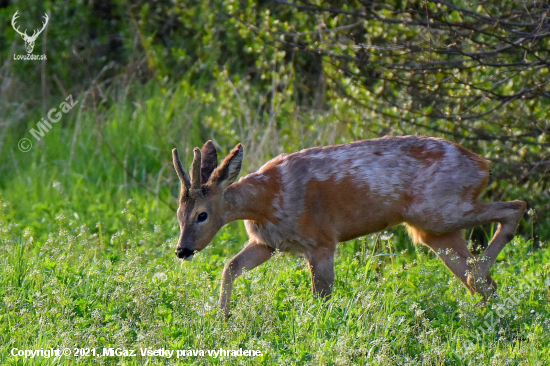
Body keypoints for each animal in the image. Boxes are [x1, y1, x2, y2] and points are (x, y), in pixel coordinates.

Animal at [174, 136, 532, 316]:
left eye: (202, 215)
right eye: (178, 214)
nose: (182, 250)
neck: (267, 200)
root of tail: (482, 164)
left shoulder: (320, 240)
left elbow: (321, 296)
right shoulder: (267, 243)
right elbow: (230, 267)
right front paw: (222, 318)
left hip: (440, 210)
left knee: (516, 207)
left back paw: (479, 282)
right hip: (437, 231)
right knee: (487, 283)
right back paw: (483, 306)